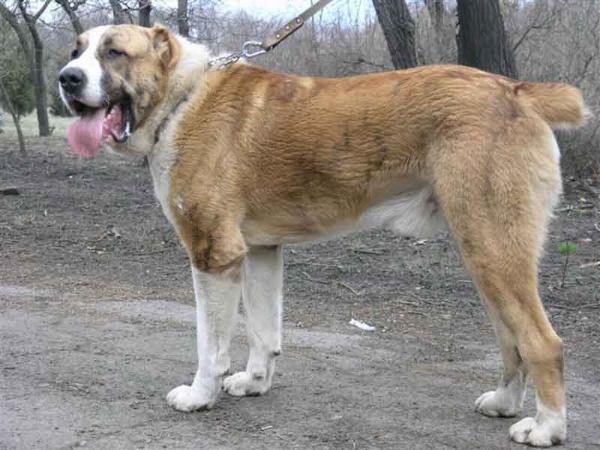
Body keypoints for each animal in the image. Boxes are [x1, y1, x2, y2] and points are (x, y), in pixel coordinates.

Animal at [61, 23, 584, 446]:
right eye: (76, 50)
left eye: (114, 52)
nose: (67, 78)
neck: (182, 96)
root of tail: (518, 91)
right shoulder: (259, 252)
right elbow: (263, 330)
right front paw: (254, 382)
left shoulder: (213, 255)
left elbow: (210, 344)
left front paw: (199, 395)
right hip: (483, 255)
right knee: (511, 340)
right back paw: (503, 402)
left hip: (494, 251)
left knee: (543, 342)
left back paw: (546, 428)